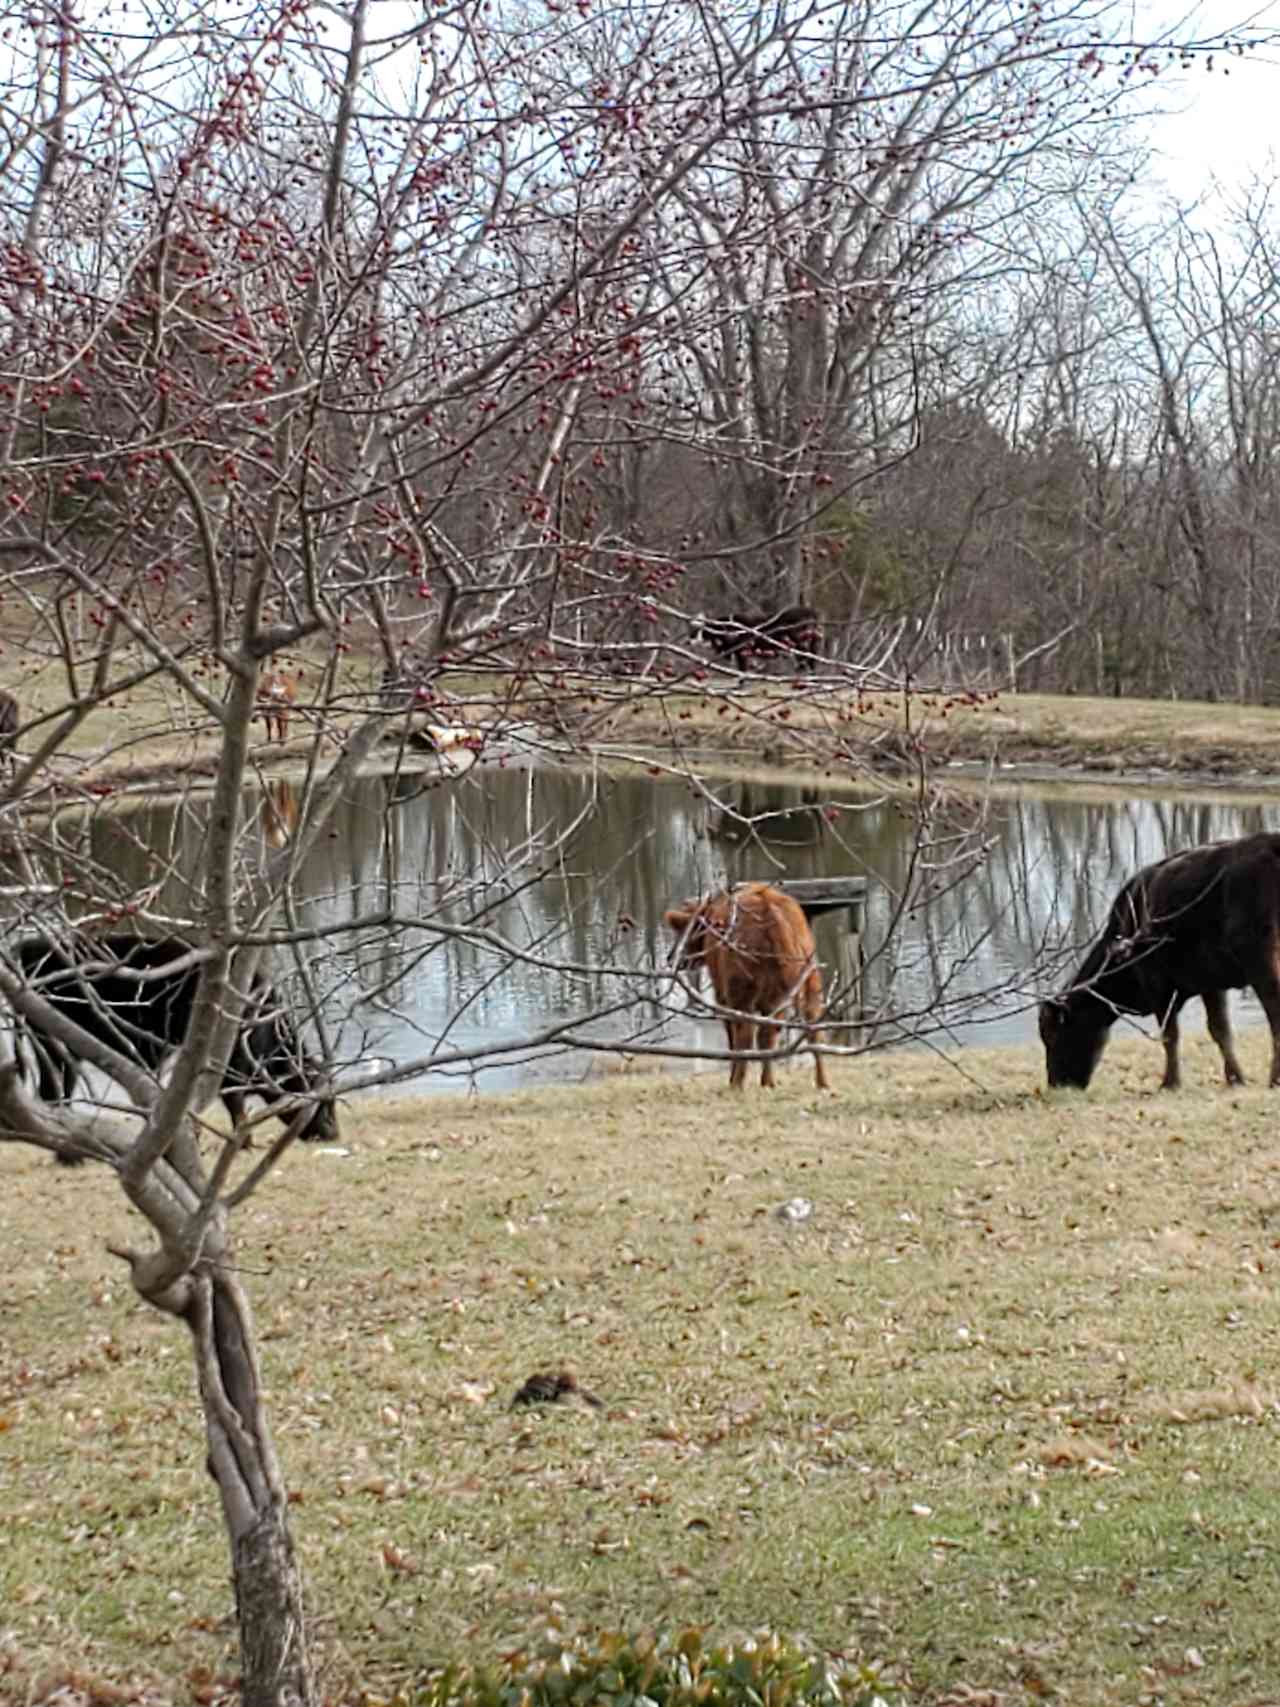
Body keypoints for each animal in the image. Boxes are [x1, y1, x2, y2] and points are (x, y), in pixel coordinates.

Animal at [8, 935, 341, 1160]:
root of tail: (30, 945)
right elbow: (235, 1105)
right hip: (53, 1042)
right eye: (324, 1101)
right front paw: (242, 1143)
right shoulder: (229, 1065)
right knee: (53, 1091)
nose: (333, 1133)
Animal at [662, 887, 832, 1085]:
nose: (671, 957)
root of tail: (769, 906)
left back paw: (737, 1083)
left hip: (741, 991)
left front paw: (732, 1076)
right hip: (809, 982)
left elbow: (732, 1037)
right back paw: (814, 1082)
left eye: (684, 929)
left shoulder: (722, 995)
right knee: (807, 1031)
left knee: (746, 1034)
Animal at [696, 607, 826, 672]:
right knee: (810, 660)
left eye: (707, 629)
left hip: (801, 643)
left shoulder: (741, 652)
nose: (695, 637)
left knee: (807, 657)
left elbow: (742, 671)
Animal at [1037, 829, 1280, 1092]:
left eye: (1053, 1034)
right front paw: (1235, 1078)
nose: (1055, 1084)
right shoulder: (1210, 983)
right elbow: (1220, 1030)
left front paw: (1170, 1083)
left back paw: (1274, 1080)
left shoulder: (1156, 983)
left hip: (1260, 961)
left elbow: (1169, 1035)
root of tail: (1269, 842)